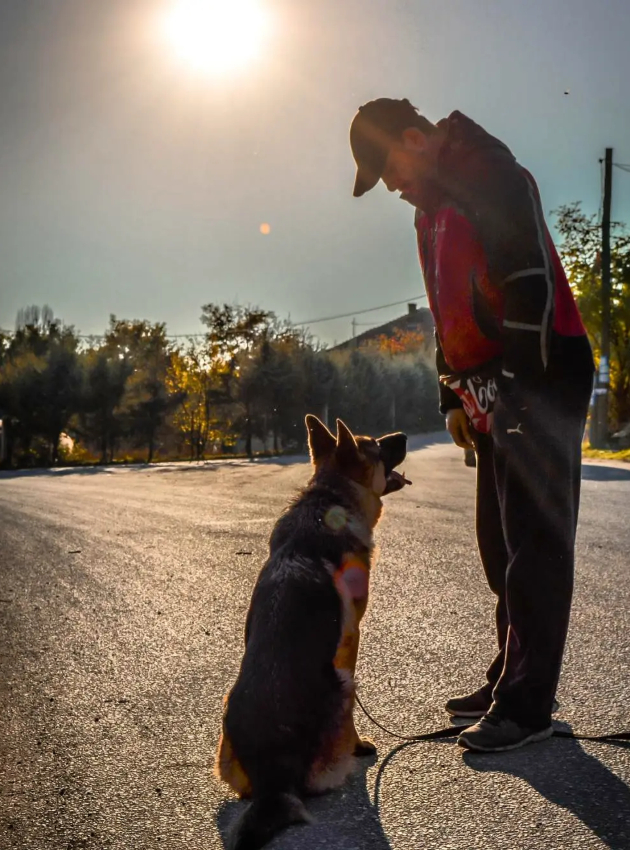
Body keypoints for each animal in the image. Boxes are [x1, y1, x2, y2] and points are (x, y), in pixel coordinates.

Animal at [216, 414, 410, 844]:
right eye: (376, 445)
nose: (405, 433)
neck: (327, 498)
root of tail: (273, 785)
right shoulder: (350, 643)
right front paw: (360, 744)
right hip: (344, 687)